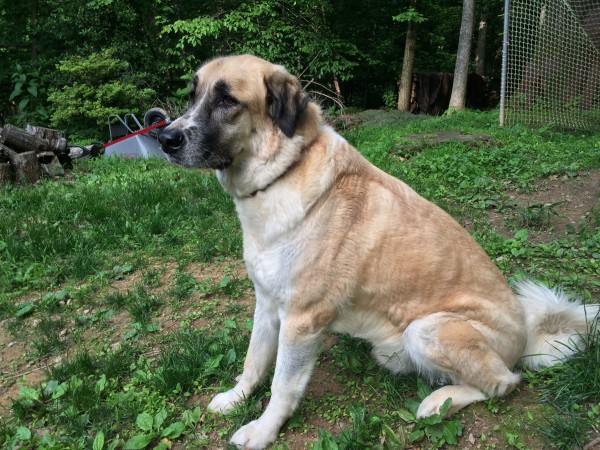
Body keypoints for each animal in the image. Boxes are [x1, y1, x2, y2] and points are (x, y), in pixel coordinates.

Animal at [157, 54, 596, 448]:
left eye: (228, 100)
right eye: (192, 94)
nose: (165, 139)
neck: (283, 172)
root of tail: (526, 338)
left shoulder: (302, 319)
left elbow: (282, 383)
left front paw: (263, 431)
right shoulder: (266, 304)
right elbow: (253, 361)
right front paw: (235, 399)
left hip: (427, 329)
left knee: (504, 382)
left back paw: (439, 403)